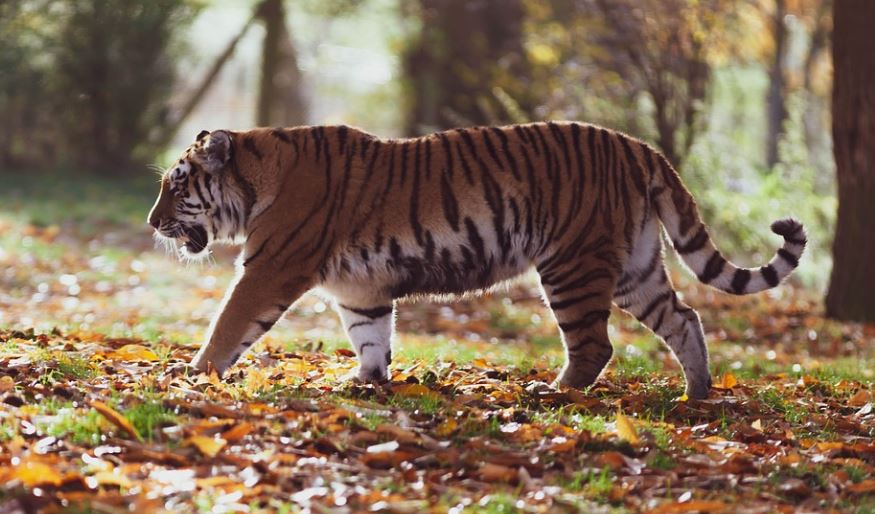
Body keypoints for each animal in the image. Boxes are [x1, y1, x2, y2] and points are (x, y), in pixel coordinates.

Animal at [147, 123, 806, 399]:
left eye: (175, 188)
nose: (152, 224)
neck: (258, 176)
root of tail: (639, 146)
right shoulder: (360, 289)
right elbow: (371, 336)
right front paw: (364, 381)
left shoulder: (270, 269)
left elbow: (229, 323)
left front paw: (194, 373)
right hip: (634, 269)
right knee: (685, 319)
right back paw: (697, 395)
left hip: (572, 264)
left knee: (595, 345)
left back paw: (553, 393)